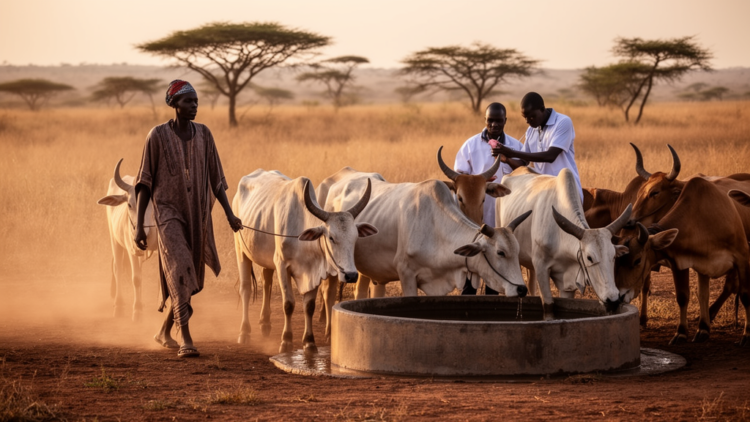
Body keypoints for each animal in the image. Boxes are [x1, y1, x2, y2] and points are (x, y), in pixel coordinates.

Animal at [97, 159, 157, 322]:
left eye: (150, 203)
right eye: (130, 204)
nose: (139, 234)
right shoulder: (132, 249)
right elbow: (136, 278)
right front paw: (137, 311)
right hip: (115, 240)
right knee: (118, 269)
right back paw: (119, 306)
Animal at [232, 169, 378, 353]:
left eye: (355, 237)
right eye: (331, 237)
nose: (351, 275)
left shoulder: (314, 272)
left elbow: (309, 306)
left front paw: (309, 342)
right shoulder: (282, 265)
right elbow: (288, 304)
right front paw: (286, 341)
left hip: (266, 258)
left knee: (266, 283)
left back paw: (265, 323)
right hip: (241, 250)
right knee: (246, 289)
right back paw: (244, 332)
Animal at [497, 167, 632, 318]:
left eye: (613, 256)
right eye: (589, 258)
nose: (613, 301)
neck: (559, 237)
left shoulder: (568, 283)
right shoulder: (541, 269)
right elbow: (549, 306)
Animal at [615, 178, 750, 346]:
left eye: (637, 260)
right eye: (616, 261)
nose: (620, 296)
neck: (704, 219)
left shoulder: (743, 258)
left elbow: (745, 295)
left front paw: (746, 334)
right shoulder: (682, 262)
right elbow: (685, 296)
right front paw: (684, 332)